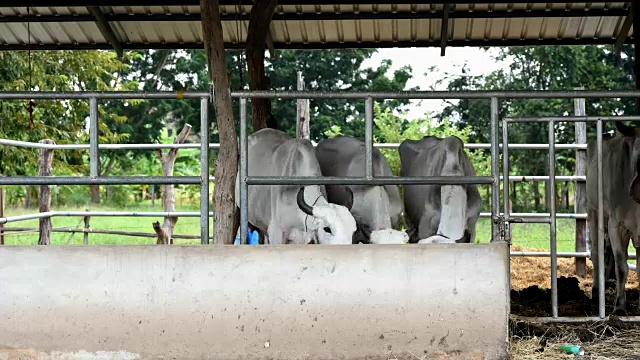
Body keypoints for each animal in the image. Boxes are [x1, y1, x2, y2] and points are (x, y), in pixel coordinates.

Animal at [588, 121, 640, 316]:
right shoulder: (615, 225)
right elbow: (621, 267)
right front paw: (619, 305)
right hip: (593, 211)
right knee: (597, 253)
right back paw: (596, 291)